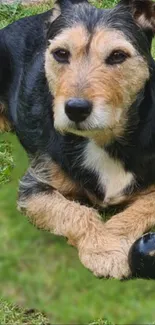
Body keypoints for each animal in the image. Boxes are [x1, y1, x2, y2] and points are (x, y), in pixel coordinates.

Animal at [0, 0, 155, 278]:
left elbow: (140, 209)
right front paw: (104, 250)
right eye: (61, 53)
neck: (102, 139)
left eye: (118, 55)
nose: (76, 109)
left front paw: (111, 243)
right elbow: (74, 210)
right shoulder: (33, 186)